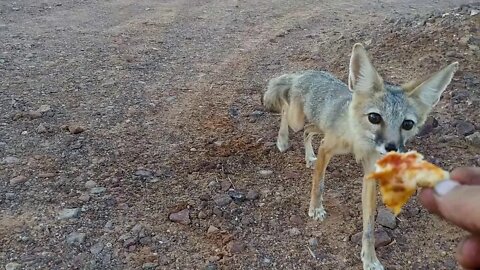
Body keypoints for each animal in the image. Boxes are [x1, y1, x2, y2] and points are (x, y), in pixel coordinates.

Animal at [264, 43, 460, 270]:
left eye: (407, 124)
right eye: (374, 117)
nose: (392, 148)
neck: (358, 140)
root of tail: (304, 73)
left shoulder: (369, 174)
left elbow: (368, 225)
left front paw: (370, 257)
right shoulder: (326, 150)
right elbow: (318, 183)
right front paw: (316, 208)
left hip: (318, 125)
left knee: (307, 130)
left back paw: (308, 156)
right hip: (296, 119)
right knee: (285, 110)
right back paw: (282, 139)